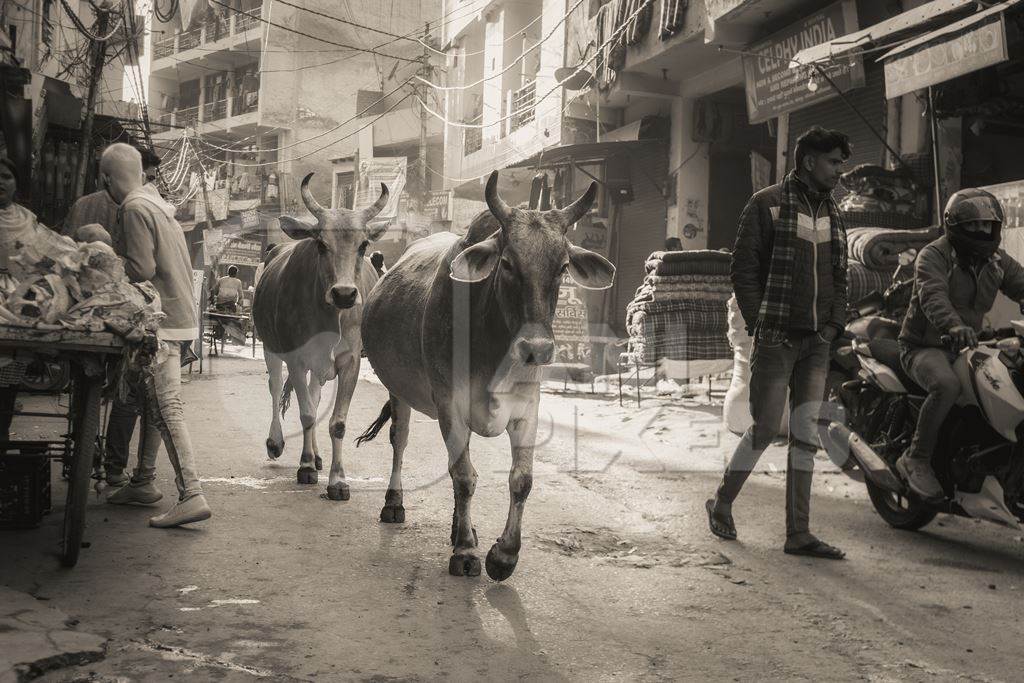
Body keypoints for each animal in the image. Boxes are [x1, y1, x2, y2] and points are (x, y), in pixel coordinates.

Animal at [356, 167, 610, 581]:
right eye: (507, 263)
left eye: (562, 267)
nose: (537, 348)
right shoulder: (450, 404)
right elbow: (463, 475)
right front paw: (465, 552)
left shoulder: (526, 409)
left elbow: (520, 479)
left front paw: (503, 554)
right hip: (399, 390)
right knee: (400, 440)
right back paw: (395, 504)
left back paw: (463, 528)